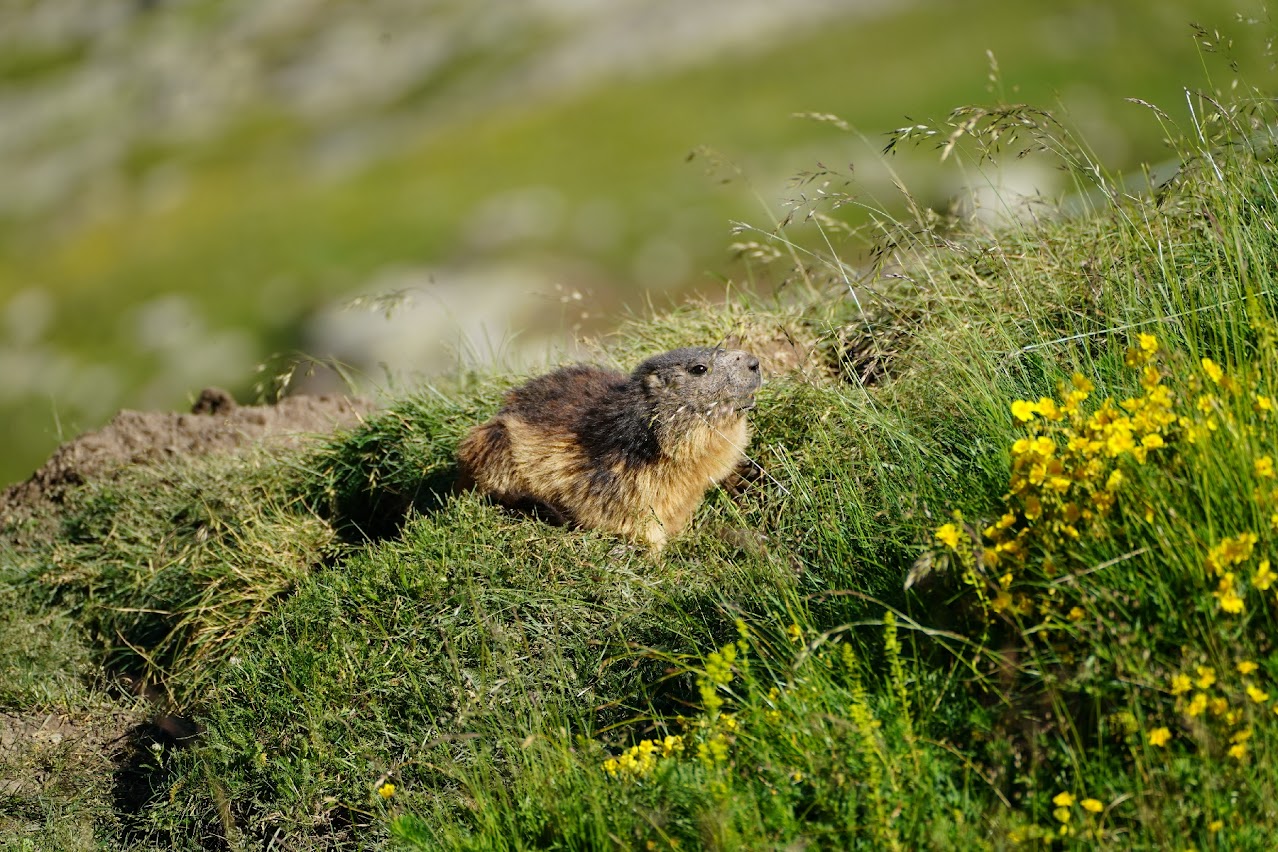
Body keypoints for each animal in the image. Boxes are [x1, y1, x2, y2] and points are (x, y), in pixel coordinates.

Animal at [457, 347, 762, 549]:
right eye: (699, 369)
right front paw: (657, 556)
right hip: (493, 441)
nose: (755, 362)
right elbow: (632, 515)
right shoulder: (623, 476)